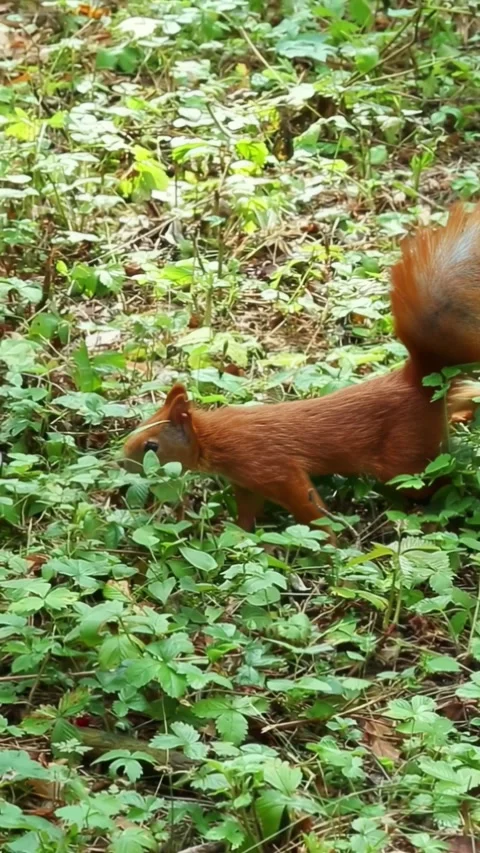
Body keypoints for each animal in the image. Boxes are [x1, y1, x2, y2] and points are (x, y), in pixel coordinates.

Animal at [123, 204, 480, 539]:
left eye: (152, 446)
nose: (121, 461)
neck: (215, 436)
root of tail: (421, 382)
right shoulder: (246, 483)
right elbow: (247, 513)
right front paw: (236, 532)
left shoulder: (269, 466)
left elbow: (306, 505)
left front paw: (330, 543)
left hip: (405, 459)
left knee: (437, 480)